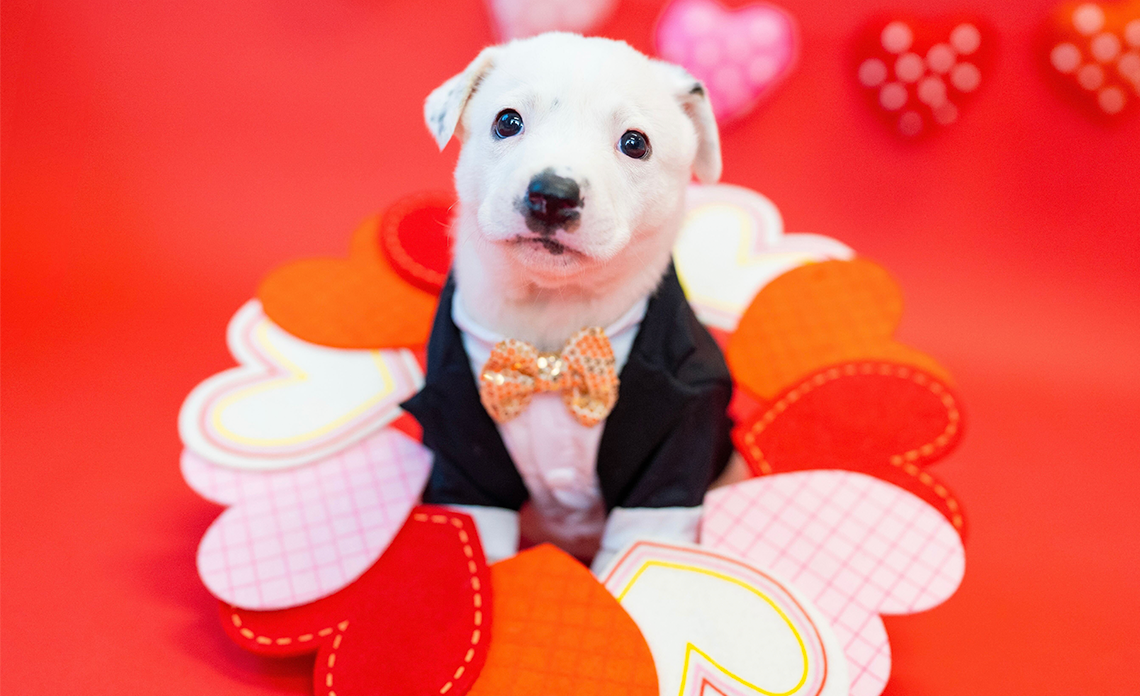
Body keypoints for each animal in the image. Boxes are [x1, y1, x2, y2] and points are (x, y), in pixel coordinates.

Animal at [412, 32, 729, 571]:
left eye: (635, 143)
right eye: (507, 121)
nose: (553, 195)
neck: (553, 321)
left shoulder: (673, 445)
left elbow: (634, 556)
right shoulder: (460, 443)